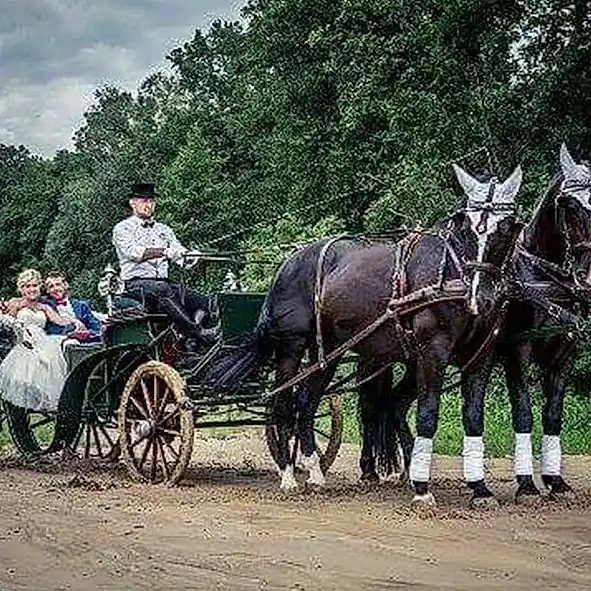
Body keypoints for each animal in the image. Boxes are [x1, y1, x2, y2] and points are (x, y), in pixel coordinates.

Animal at [206, 164, 524, 506]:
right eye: (466, 228)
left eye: (507, 228)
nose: (481, 298)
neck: (449, 273)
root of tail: (287, 265)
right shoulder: (432, 350)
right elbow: (428, 413)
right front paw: (422, 489)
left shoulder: (481, 355)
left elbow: (474, 417)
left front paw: (480, 489)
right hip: (292, 347)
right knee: (283, 403)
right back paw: (289, 474)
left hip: (327, 351)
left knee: (306, 401)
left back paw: (314, 471)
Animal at [386, 142, 591, 504]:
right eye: (569, 206)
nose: (585, 275)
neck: (542, 279)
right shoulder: (517, 352)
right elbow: (523, 412)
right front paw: (526, 485)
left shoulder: (565, 354)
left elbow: (553, 414)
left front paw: (555, 481)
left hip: (416, 358)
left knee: (395, 403)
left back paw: (409, 469)